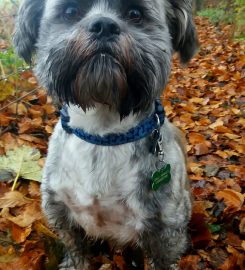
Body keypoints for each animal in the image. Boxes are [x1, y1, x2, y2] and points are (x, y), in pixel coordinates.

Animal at [12, 1, 198, 268]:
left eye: (135, 14)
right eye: (70, 12)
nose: (104, 25)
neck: (103, 136)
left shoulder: (166, 232)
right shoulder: (59, 210)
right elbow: (75, 247)